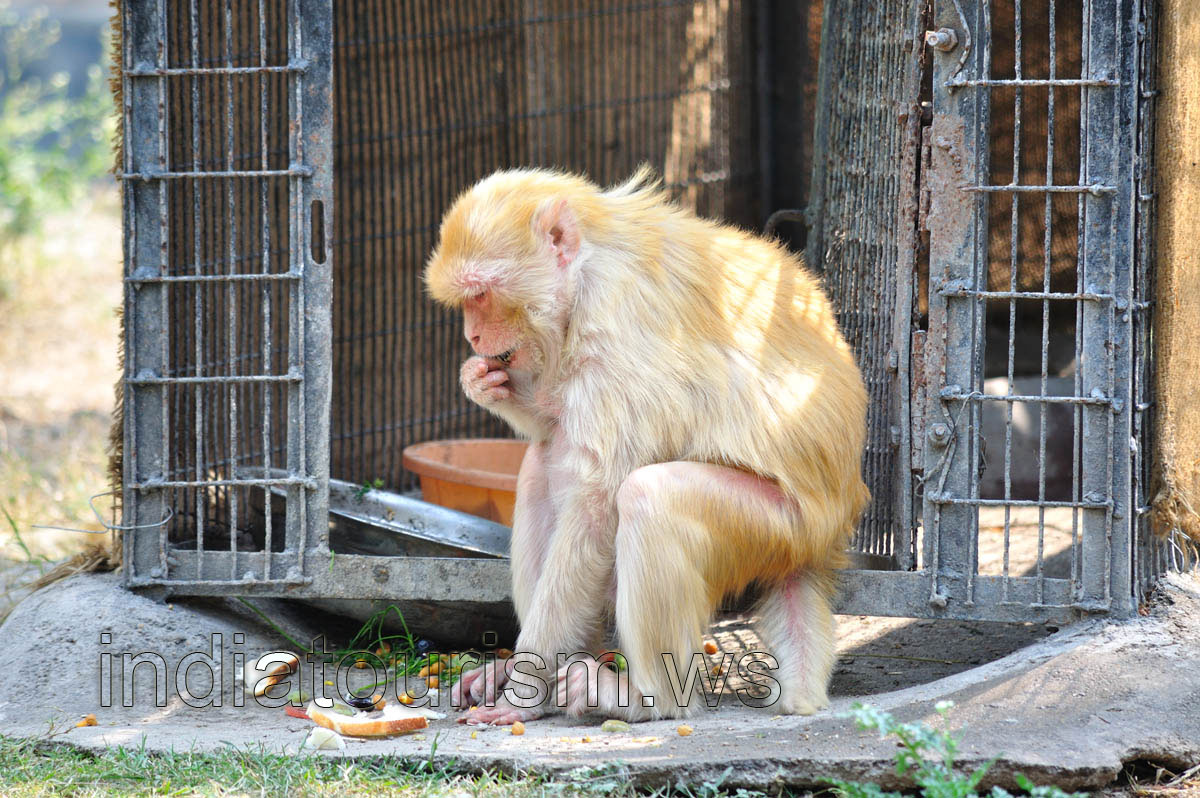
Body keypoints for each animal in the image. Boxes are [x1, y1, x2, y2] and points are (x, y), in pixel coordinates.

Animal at [424, 167, 869, 725]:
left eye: (480, 295)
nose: (474, 336)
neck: (589, 265)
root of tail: (832, 528)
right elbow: (554, 424)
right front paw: (484, 384)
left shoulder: (615, 327)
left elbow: (596, 501)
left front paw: (523, 689)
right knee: (541, 466)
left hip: (780, 528)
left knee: (648, 496)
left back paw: (644, 699)